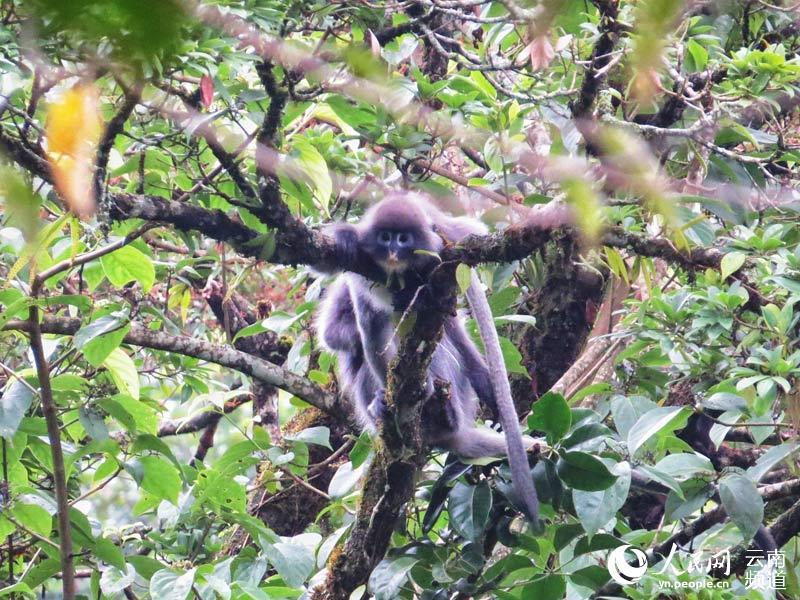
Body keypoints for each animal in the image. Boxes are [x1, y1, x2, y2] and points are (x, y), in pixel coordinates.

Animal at [316, 192, 540, 524]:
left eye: (402, 239)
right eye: (386, 238)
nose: (393, 251)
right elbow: (343, 332)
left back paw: (443, 408)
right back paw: (381, 407)